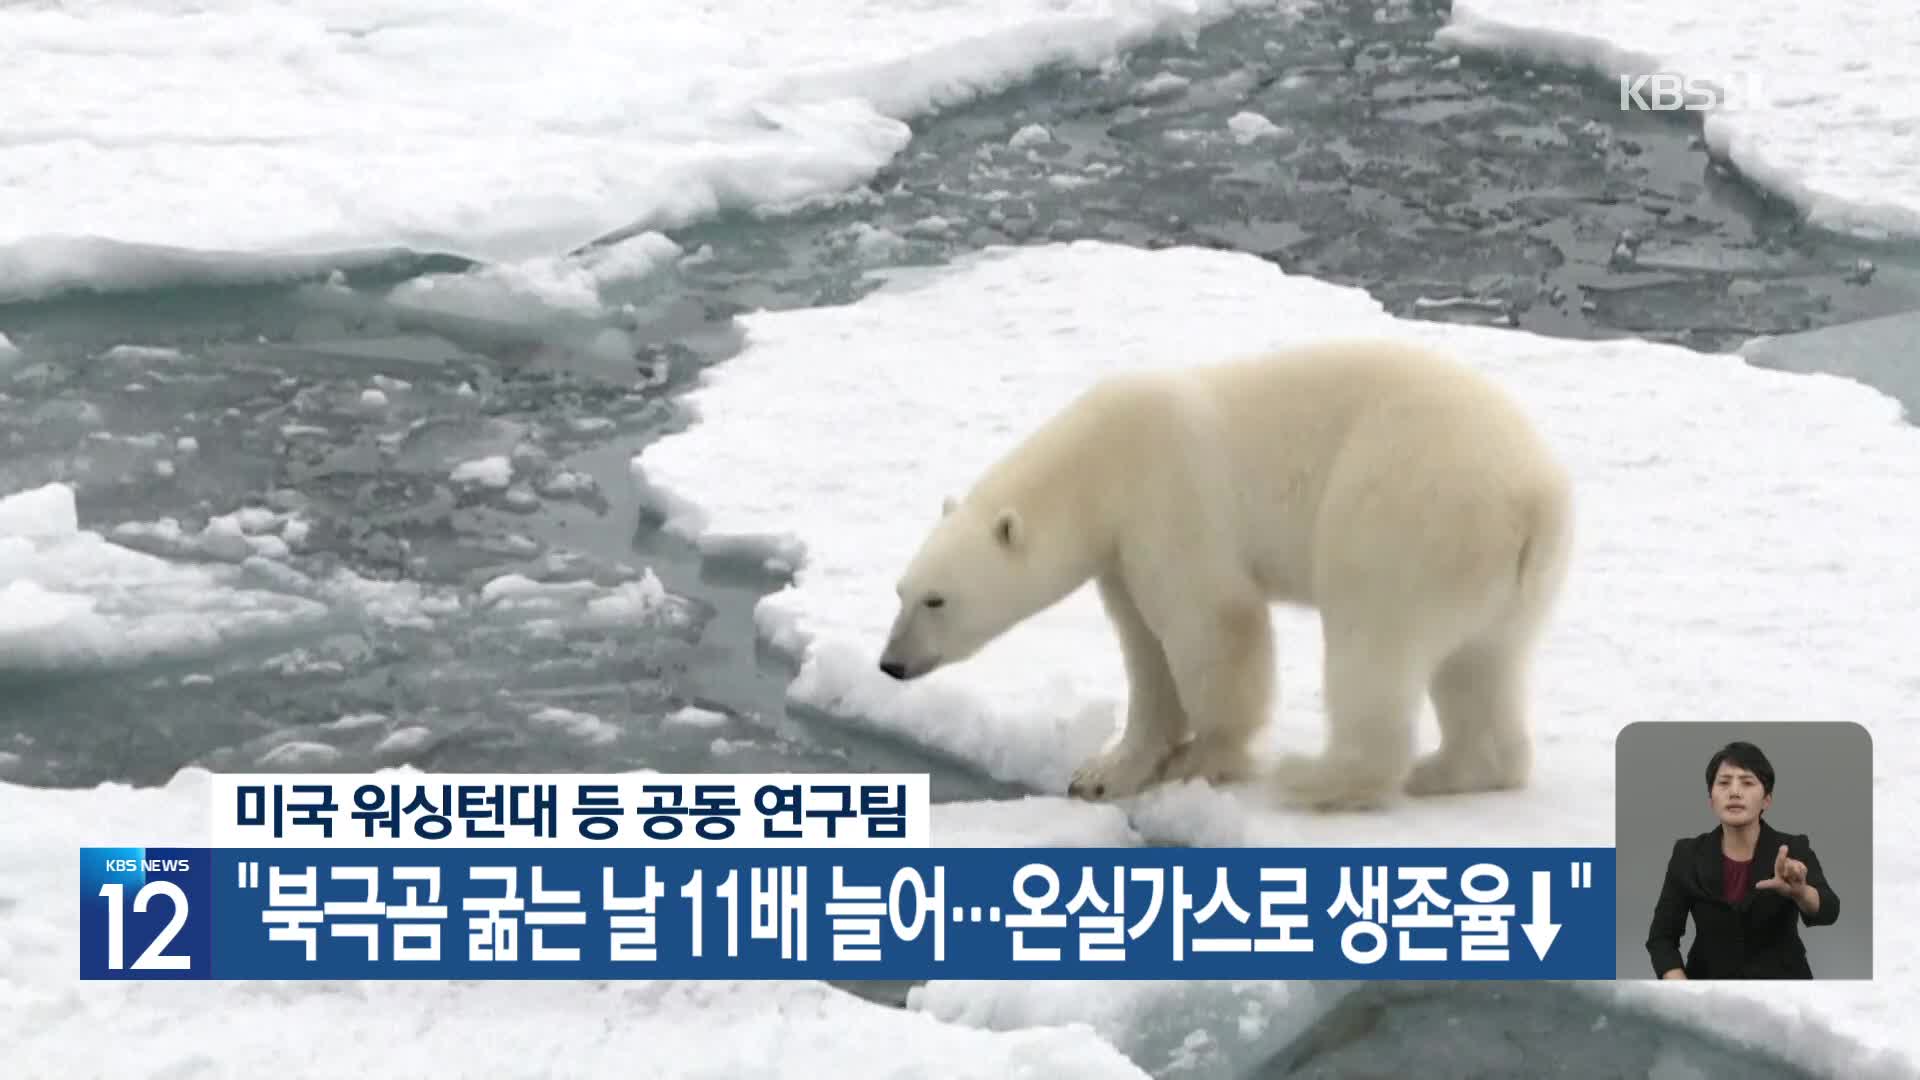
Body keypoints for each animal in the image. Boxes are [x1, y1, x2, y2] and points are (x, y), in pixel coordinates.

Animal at [879, 336, 1574, 807]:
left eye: (936, 600)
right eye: (900, 591)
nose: (891, 664)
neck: (1101, 461)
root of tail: (1533, 500)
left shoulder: (1169, 496)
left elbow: (1212, 624)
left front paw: (1202, 757)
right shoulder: (1123, 551)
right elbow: (1145, 650)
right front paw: (1103, 771)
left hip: (1409, 513)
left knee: (1373, 640)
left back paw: (1317, 777)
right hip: (1504, 578)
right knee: (1481, 662)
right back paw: (1452, 770)